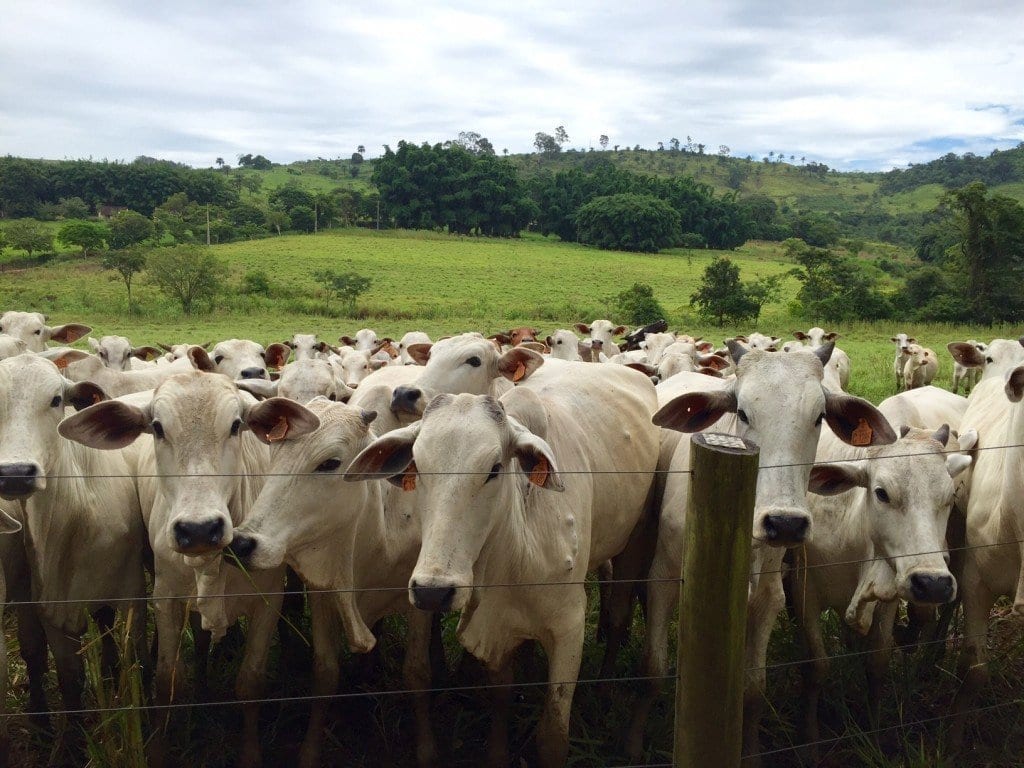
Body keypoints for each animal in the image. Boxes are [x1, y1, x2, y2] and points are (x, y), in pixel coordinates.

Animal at [58, 370, 319, 765]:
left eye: (236, 425)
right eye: (157, 427)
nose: (198, 529)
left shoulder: (270, 600)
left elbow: (251, 682)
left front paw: (250, 753)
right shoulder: (166, 599)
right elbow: (167, 681)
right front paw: (159, 750)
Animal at [228, 399, 436, 768]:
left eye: (330, 463)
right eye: (275, 455)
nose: (242, 543)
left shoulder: (419, 602)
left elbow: (417, 672)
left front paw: (426, 750)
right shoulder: (322, 592)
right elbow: (325, 674)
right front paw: (310, 752)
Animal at [348, 358, 659, 765]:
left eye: (495, 468)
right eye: (418, 465)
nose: (433, 592)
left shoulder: (569, 626)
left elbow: (553, 735)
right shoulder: (496, 623)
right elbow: (501, 695)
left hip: (636, 541)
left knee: (620, 615)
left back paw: (605, 690)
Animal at [622, 344, 897, 765]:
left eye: (819, 416)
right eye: (743, 412)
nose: (785, 523)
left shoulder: (769, 598)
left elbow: (753, 688)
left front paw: (749, 751)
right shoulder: (663, 581)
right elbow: (653, 669)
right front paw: (634, 746)